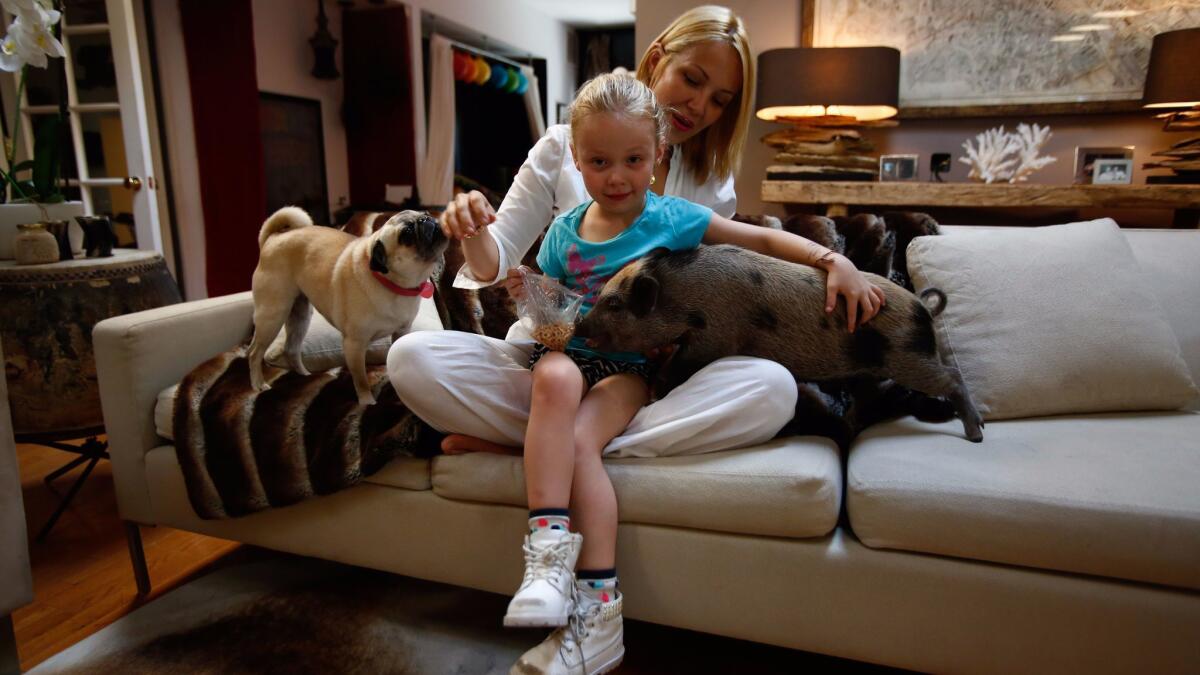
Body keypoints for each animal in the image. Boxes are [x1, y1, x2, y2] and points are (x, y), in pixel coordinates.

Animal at [248, 207, 451, 401]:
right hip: (273, 315)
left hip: (300, 316)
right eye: (407, 233)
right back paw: (258, 384)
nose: (427, 219)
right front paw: (367, 401)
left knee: (291, 349)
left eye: (425, 213)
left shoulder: (401, 331)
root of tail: (273, 238)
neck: (392, 284)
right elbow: (360, 379)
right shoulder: (355, 344)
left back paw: (305, 375)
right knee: (254, 352)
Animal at [573, 243, 984, 444]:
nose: (579, 322)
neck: (685, 298)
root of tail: (924, 309)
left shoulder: (714, 337)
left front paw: (656, 392)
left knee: (951, 376)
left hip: (908, 358)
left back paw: (976, 434)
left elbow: (678, 366)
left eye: (614, 304)